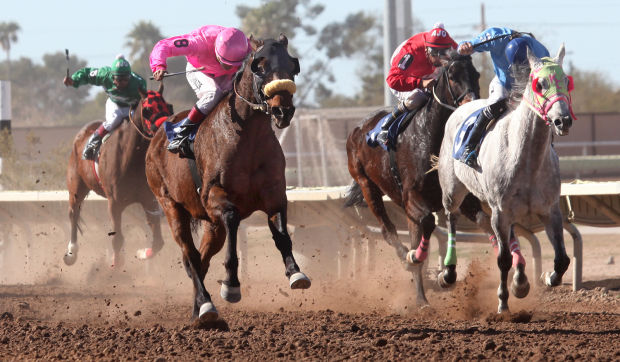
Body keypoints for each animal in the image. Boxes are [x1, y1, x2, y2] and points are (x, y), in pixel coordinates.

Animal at [65, 82, 173, 268]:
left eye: (168, 106)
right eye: (147, 110)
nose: (164, 130)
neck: (131, 157)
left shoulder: (148, 199)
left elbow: (158, 241)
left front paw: (142, 253)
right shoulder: (114, 203)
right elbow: (117, 239)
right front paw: (115, 267)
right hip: (76, 186)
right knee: (73, 213)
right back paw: (71, 253)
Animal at [145, 34, 310, 322]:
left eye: (293, 65)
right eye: (260, 67)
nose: (283, 111)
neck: (247, 138)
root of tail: (157, 137)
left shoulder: (274, 193)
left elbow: (281, 234)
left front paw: (295, 272)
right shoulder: (213, 196)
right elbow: (233, 219)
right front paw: (231, 285)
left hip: (212, 226)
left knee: (201, 259)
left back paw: (200, 309)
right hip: (170, 206)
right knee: (190, 255)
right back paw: (206, 305)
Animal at [346, 51, 492, 306]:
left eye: (476, 74)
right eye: (452, 76)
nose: (472, 104)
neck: (429, 137)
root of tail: (359, 128)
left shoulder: (461, 198)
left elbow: (482, 220)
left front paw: (446, 275)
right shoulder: (411, 198)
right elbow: (426, 223)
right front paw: (419, 263)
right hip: (367, 186)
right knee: (388, 230)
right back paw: (417, 285)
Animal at [436, 43, 576, 312]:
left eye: (566, 81)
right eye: (540, 84)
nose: (562, 120)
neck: (527, 160)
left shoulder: (549, 210)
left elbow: (562, 259)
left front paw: (546, 277)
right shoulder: (500, 212)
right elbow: (502, 260)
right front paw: (502, 302)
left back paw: (521, 279)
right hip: (452, 189)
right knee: (451, 217)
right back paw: (448, 272)